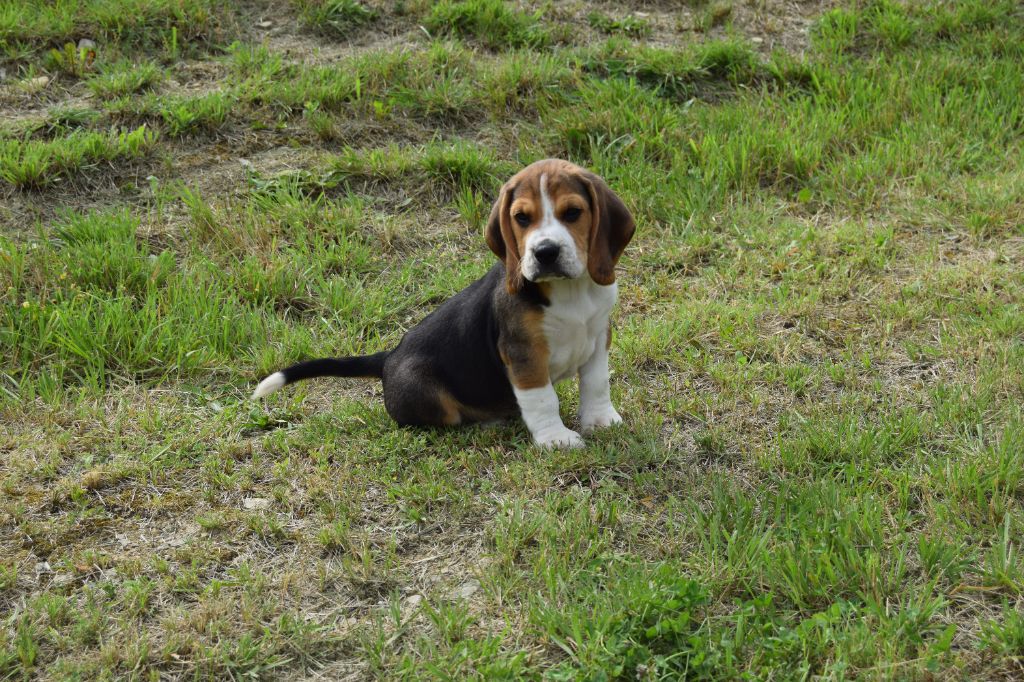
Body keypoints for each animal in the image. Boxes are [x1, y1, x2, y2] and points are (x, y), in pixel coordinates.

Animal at [250, 157, 630, 446]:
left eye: (573, 212)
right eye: (522, 218)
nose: (545, 252)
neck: (571, 292)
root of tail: (389, 357)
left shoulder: (599, 337)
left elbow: (596, 383)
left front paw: (600, 420)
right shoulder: (524, 355)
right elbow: (542, 399)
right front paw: (556, 439)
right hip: (428, 392)